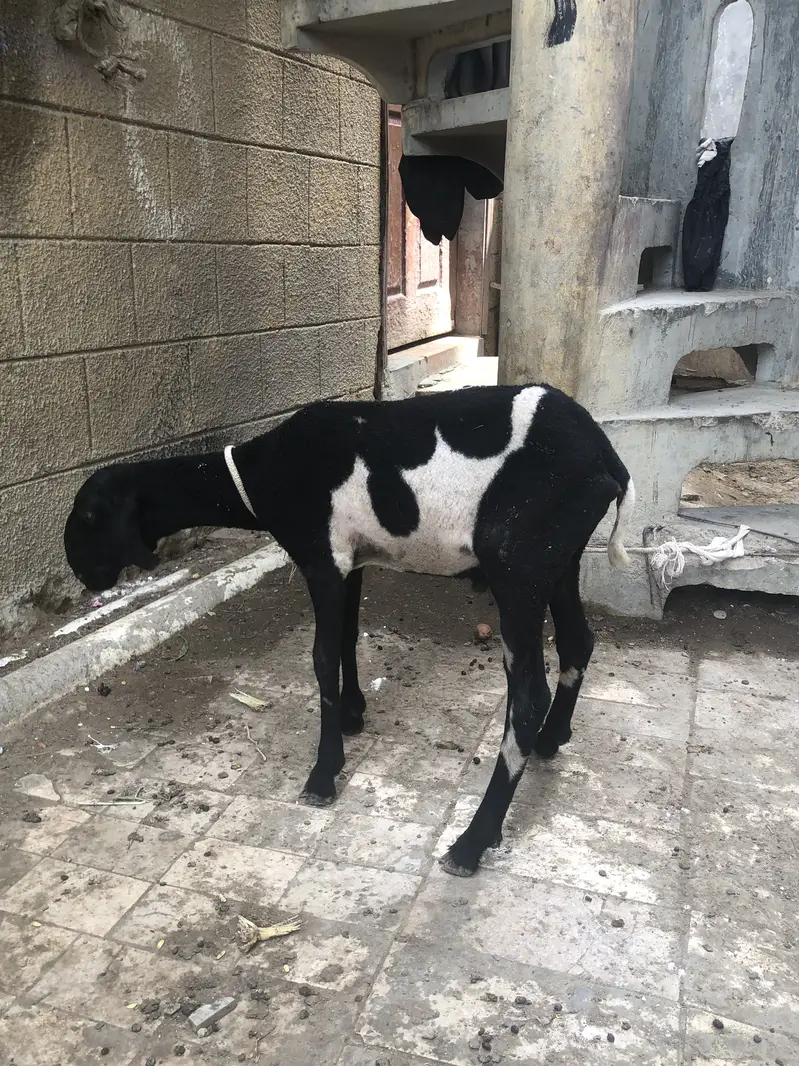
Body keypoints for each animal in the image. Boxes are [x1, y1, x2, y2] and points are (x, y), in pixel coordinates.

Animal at [64, 384, 634, 877]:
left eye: (89, 516)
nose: (83, 573)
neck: (262, 474)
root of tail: (607, 459)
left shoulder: (321, 559)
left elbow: (320, 658)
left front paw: (323, 773)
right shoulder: (351, 563)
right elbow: (346, 640)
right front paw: (354, 713)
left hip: (518, 566)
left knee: (527, 697)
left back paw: (472, 842)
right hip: (560, 561)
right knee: (578, 643)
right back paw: (552, 740)